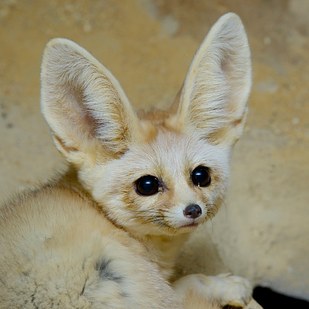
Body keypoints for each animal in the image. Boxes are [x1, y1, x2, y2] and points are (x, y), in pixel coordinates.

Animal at [0, 13, 253, 306]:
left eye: (201, 176)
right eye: (147, 185)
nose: (193, 210)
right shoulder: (161, 291)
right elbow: (193, 280)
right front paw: (227, 285)